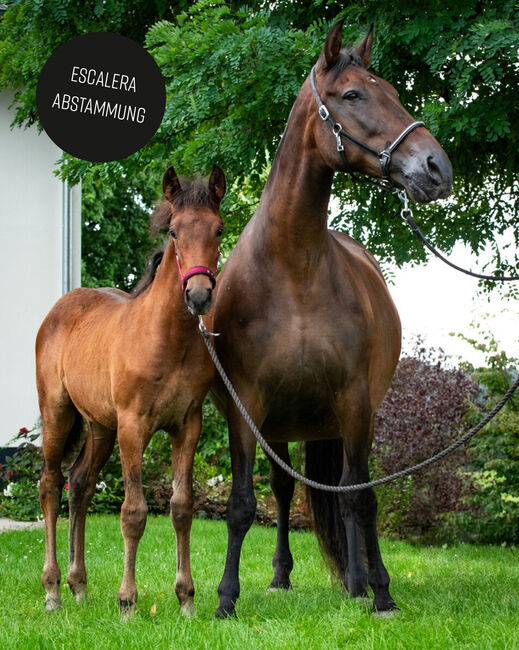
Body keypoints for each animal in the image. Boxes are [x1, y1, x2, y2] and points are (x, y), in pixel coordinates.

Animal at [34, 165, 225, 616]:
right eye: (173, 231)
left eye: (219, 229)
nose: (198, 296)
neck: (168, 340)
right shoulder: (134, 426)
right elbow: (134, 512)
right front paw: (128, 603)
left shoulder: (186, 425)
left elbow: (182, 507)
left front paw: (186, 600)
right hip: (58, 413)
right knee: (50, 484)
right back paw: (53, 590)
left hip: (101, 426)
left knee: (80, 484)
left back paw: (79, 585)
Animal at [209, 21, 452, 616]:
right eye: (354, 95)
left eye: (393, 90)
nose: (437, 168)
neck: (295, 273)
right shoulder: (247, 407)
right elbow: (242, 504)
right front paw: (226, 599)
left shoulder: (355, 402)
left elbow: (360, 501)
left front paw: (381, 592)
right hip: (279, 424)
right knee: (283, 491)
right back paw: (280, 576)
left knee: (345, 492)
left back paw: (359, 582)